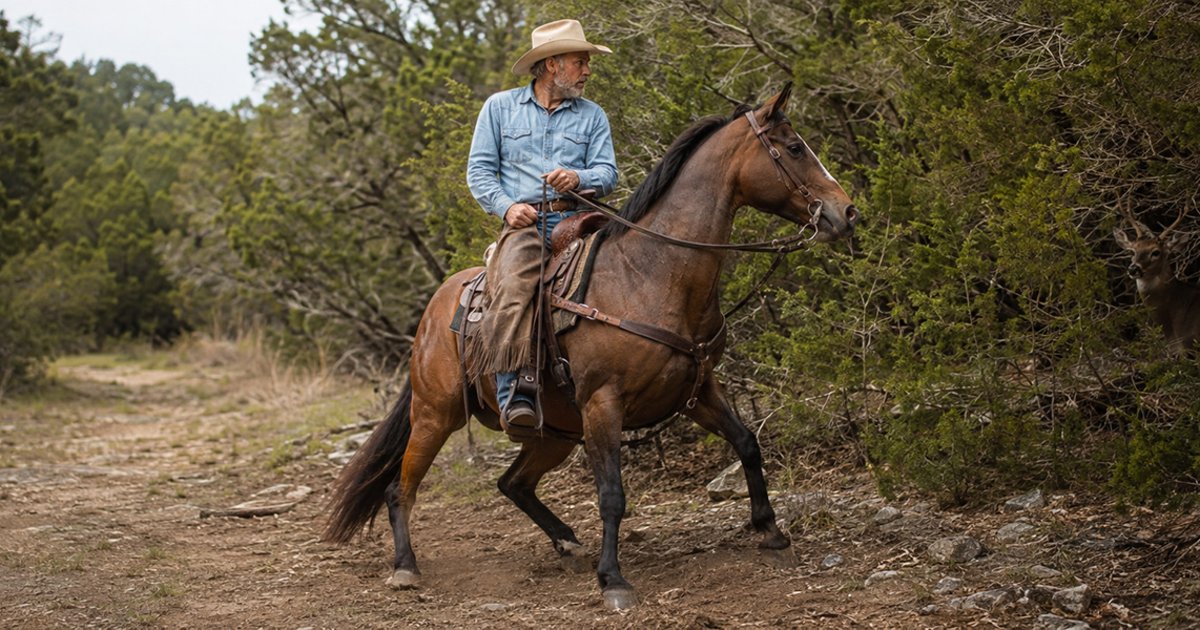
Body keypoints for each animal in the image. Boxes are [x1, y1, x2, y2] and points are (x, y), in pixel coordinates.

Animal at [322, 83, 859, 610]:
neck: (650, 273)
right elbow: (612, 493)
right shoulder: (604, 402)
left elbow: (747, 442)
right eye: (794, 148)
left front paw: (771, 531)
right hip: (437, 414)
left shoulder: (699, 389)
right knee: (400, 488)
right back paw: (406, 567)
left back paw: (568, 543)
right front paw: (614, 580)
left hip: (554, 433)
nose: (847, 212)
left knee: (512, 482)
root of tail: (437, 306)